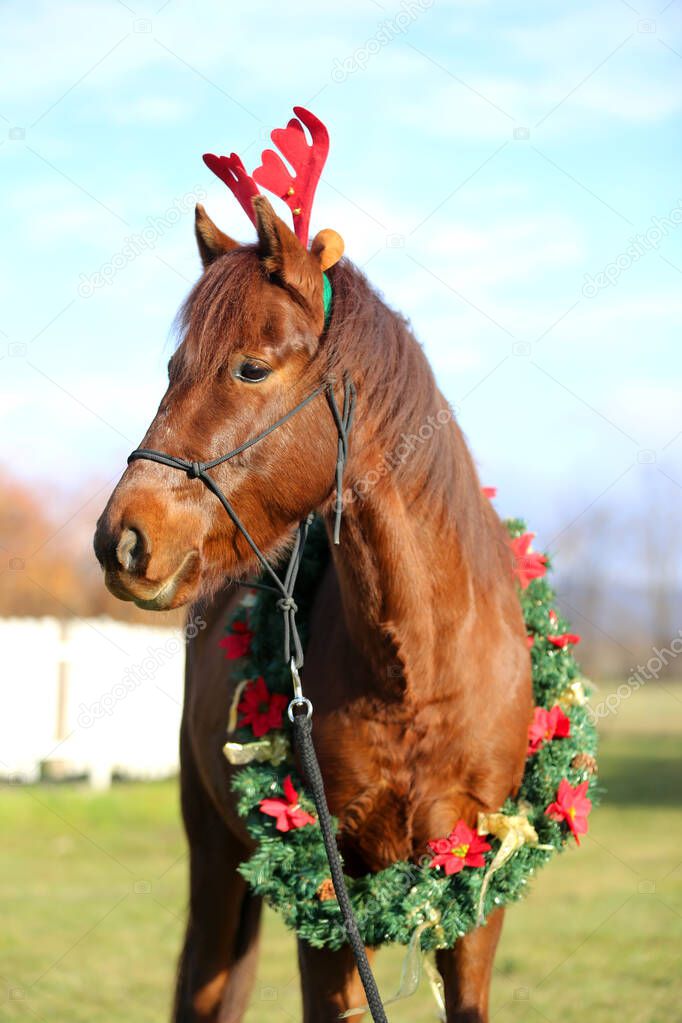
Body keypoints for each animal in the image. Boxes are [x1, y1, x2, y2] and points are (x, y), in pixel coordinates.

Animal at [94, 195, 531, 1018]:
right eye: (172, 369)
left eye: (251, 367)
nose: (121, 540)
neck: (417, 674)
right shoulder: (330, 892)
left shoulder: (478, 883)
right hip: (214, 858)